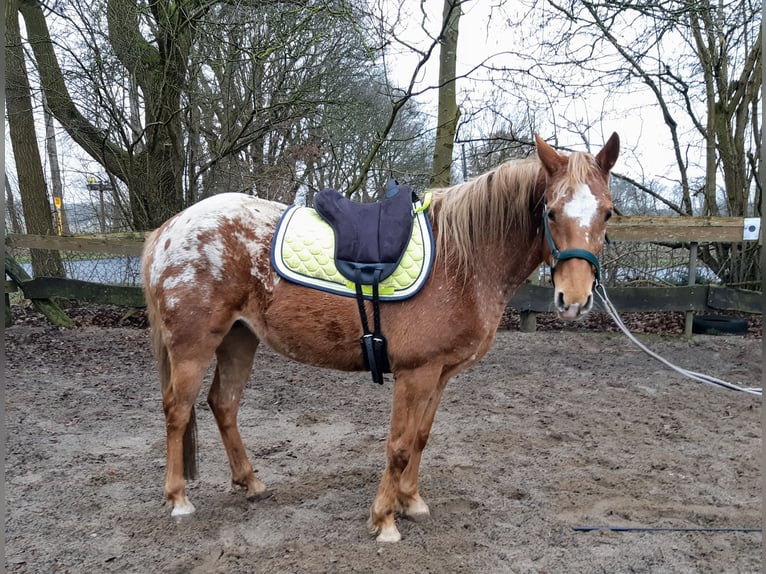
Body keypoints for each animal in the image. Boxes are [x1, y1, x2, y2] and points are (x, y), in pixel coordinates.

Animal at [141, 133, 620, 544]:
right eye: (551, 211)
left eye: (608, 213)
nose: (575, 299)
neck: (462, 259)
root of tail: (170, 228)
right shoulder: (415, 373)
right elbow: (400, 445)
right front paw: (385, 519)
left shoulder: (440, 374)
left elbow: (421, 437)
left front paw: (411, 502)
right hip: (194, 345)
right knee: (177, 410)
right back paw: (179, 499)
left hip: (239, 339)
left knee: (223, 404)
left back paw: (251, 482)